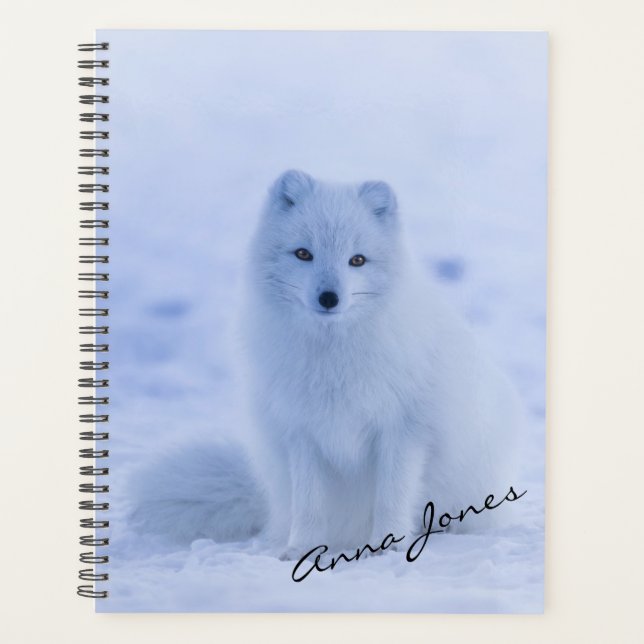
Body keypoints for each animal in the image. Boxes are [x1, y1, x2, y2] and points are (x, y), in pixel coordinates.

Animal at [129, 170, 523, 559]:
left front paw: (389, 546)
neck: (333, 357)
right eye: (304, 253)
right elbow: (309, 504)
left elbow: (391, 496)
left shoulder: (403, 429)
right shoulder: (302, 432)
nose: (329, 298)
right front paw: (302, 549)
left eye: (357, 260)